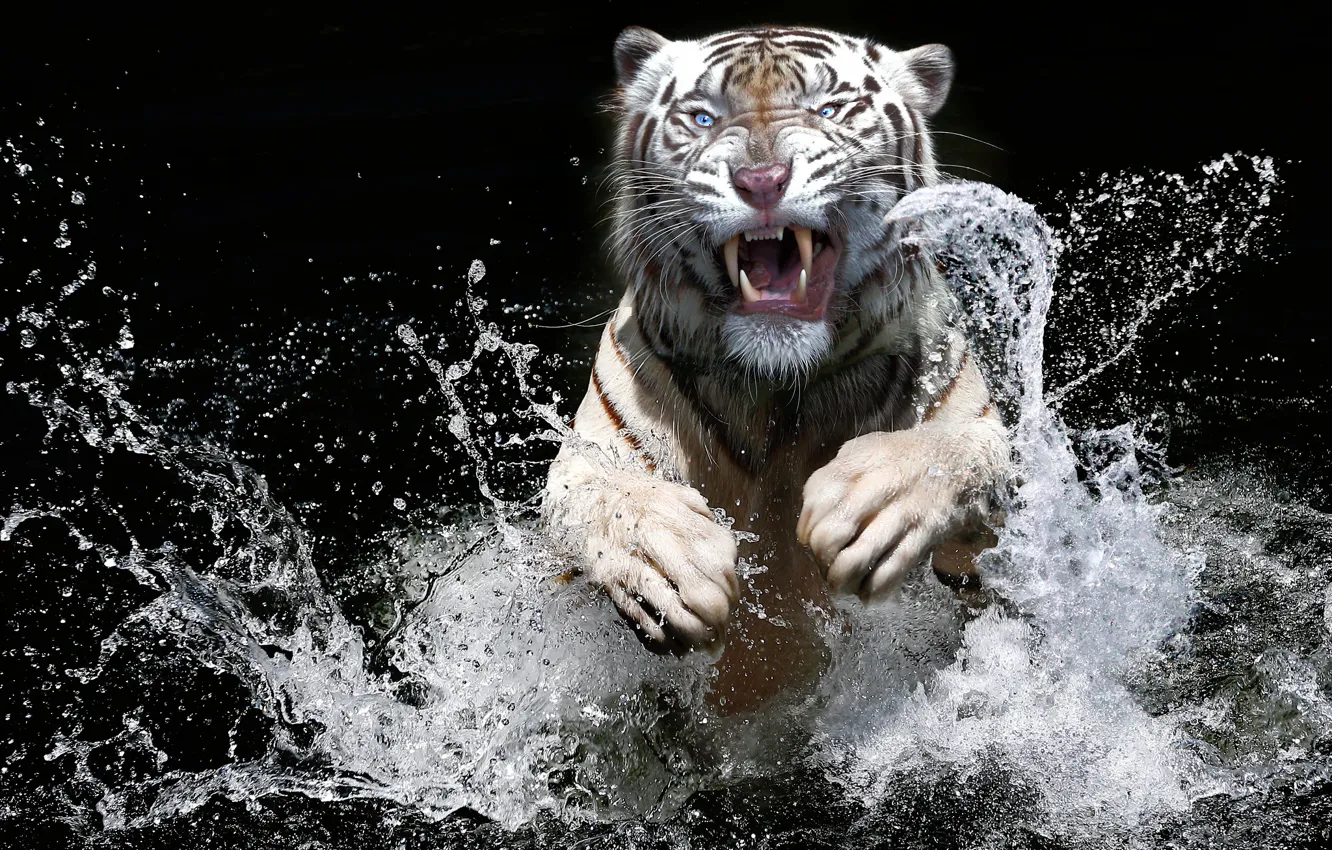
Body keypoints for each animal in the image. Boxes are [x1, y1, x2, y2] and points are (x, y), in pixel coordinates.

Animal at [543, 25, 1010, 711]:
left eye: (829, 110)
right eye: (704, 118)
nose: (761, 180)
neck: (777, 393)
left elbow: (966, 451)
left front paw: (873, 501)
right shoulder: (593, 456)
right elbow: (599, 495)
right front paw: (670, 563)